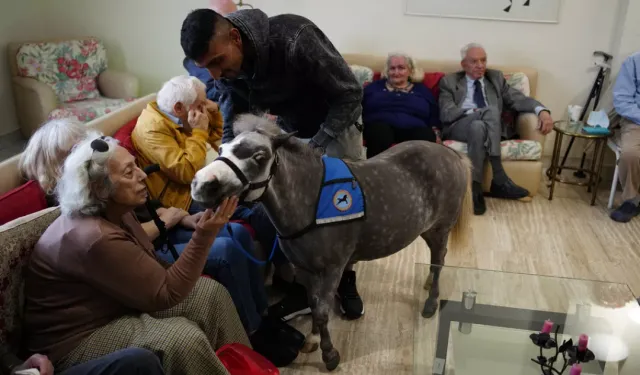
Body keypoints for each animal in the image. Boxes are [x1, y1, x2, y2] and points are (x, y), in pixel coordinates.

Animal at [190, 115, 470, 374]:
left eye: (260, 156)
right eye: (222, 149)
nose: (201, 184)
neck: (311, 202)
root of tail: (450, 153)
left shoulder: (332, 269)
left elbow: (324, 311)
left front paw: (330, 354)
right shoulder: (304, 269)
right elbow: (314, 305)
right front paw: (313, 338)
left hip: (440, 228)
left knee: (439, 260)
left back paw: (431, 302)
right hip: (427, 229)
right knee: (435, 260)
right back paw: (427, 283)